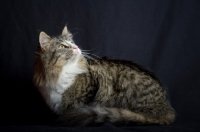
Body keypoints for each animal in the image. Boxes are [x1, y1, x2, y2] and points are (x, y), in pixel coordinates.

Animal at [32, 26, 175, 127]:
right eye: (63, 46)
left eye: (72, 42)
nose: (76, 47)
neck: (61, 73)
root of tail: (166, 107)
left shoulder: (92, 89)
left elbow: (77, 106)